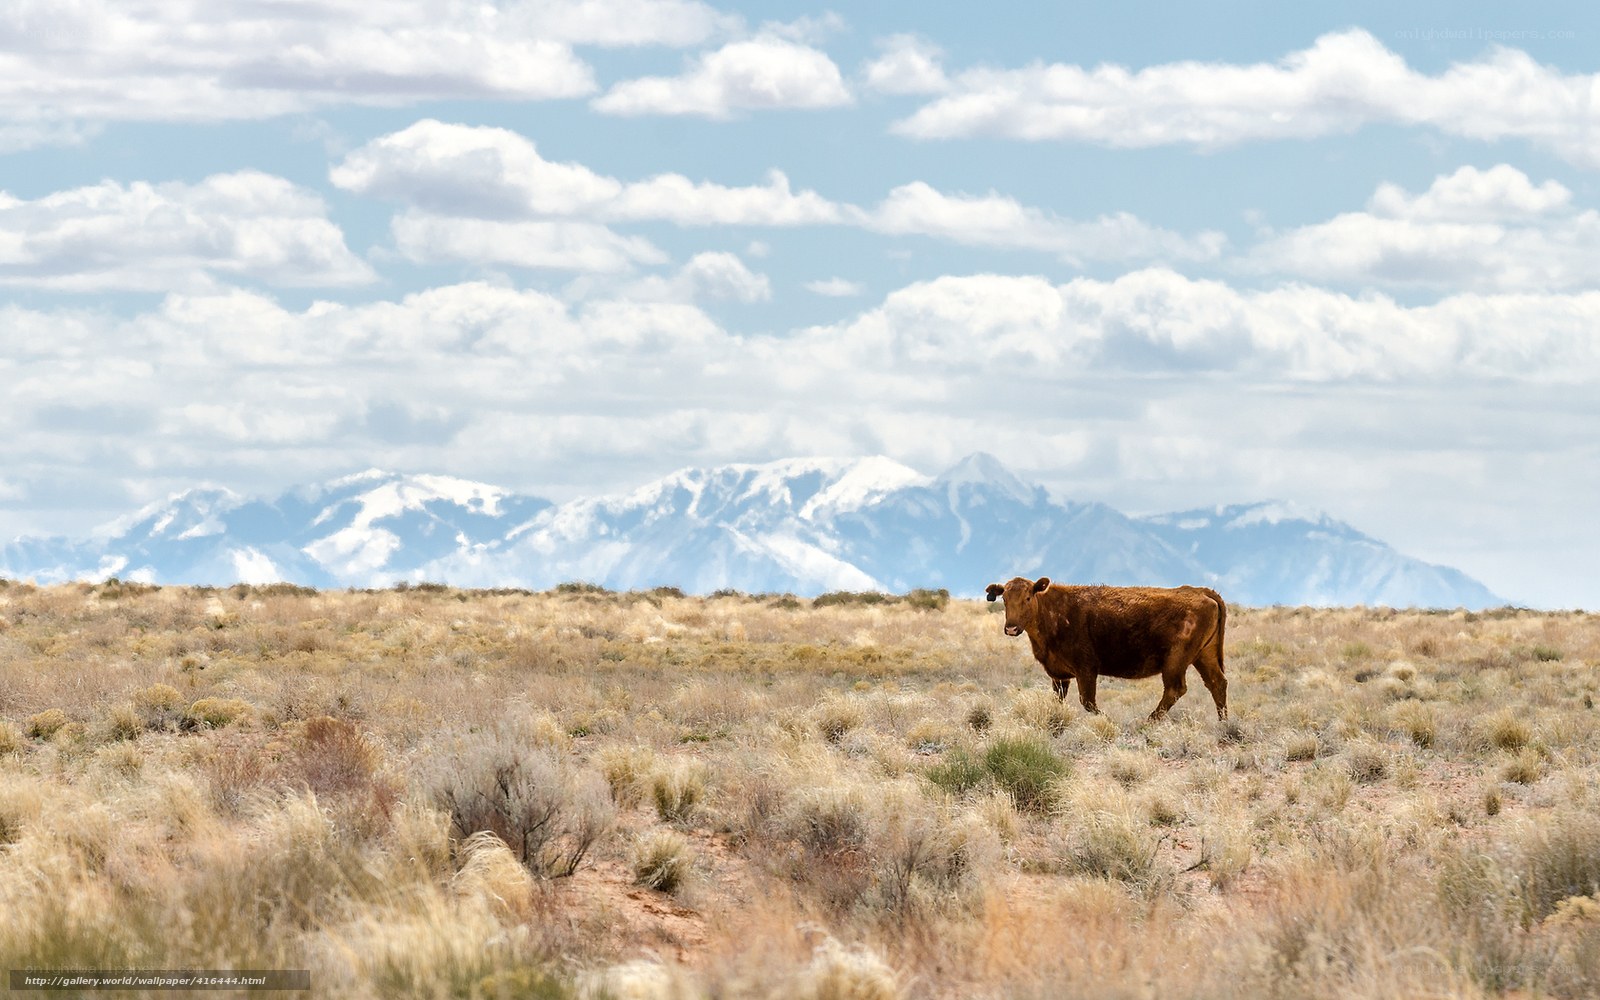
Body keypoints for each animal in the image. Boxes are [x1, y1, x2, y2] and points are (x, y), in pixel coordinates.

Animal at [985, 577, 1228, 721]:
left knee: (1175, 689)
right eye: (1004, 599)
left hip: (1176, 661)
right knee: (1217, 683)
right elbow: (1059, 700)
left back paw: (1148, 722)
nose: (1011, 628)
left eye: (1027, 597)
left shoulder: (1086, 670)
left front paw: (1108, 720)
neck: (1052, 611)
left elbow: (1088, 702)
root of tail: (1202, 591)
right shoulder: (1059, 676)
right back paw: (1223, 723)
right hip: (1204, 656)